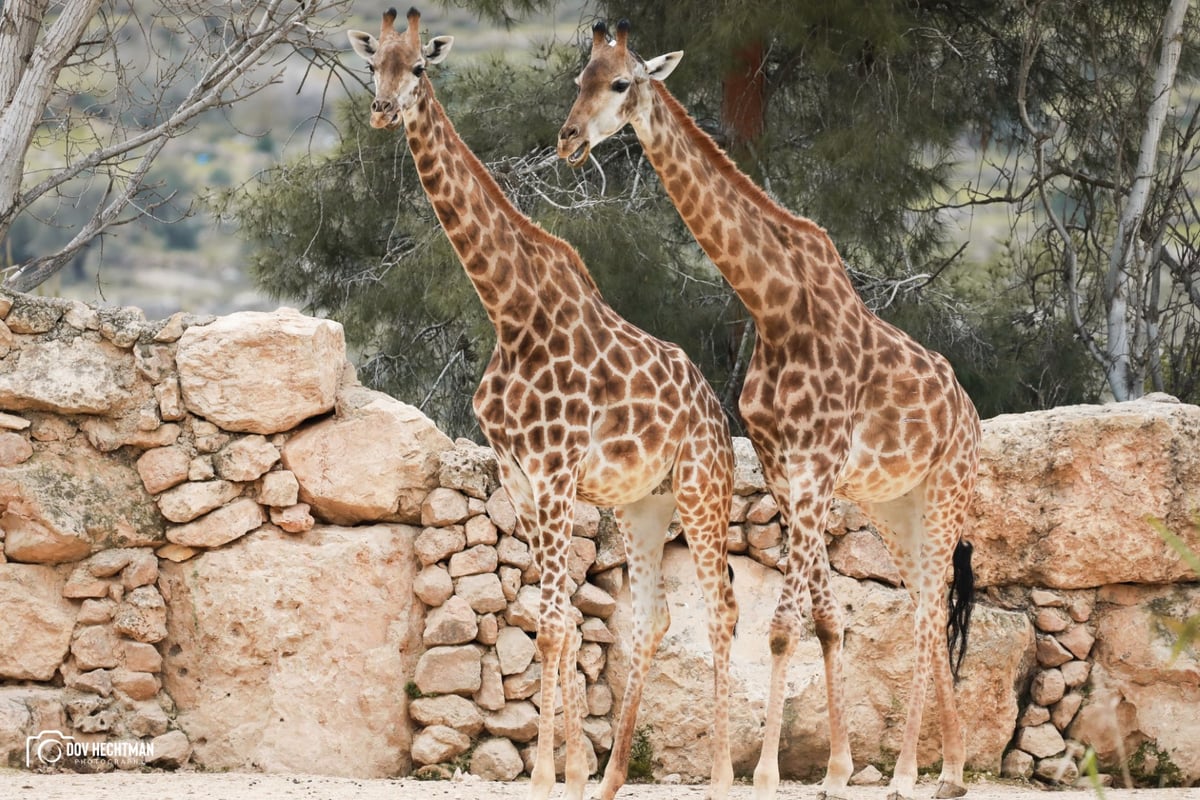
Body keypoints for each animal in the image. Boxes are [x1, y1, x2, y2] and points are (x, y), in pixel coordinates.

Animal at [348, 10, 739, 800]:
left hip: (701, 488)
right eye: (374, 64)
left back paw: (724, 778)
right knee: (653, 616)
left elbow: (559, 622)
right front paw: (572, 772)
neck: (511, 311)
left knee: (721, 609)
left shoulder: (557, 474)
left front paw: (545, 779)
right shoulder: (520, 478)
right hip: (644, 503)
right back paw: (613, 781)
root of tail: (716, 412)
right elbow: (547, 617)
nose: (382, 110)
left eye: (420, 69)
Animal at [556, 17, 979, 800]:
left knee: (928, 611)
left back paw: (912, 771)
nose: (569, 139)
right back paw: (954, 768)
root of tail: (967, 413)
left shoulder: (816, 470)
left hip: (946, 490)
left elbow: (785, 625)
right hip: (894, 505)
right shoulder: (788, 473)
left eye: (621, 82)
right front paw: (834, 770)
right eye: (580, 79)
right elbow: (825, 619)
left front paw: (765, 773)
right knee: (924, 605)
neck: (773, 305)